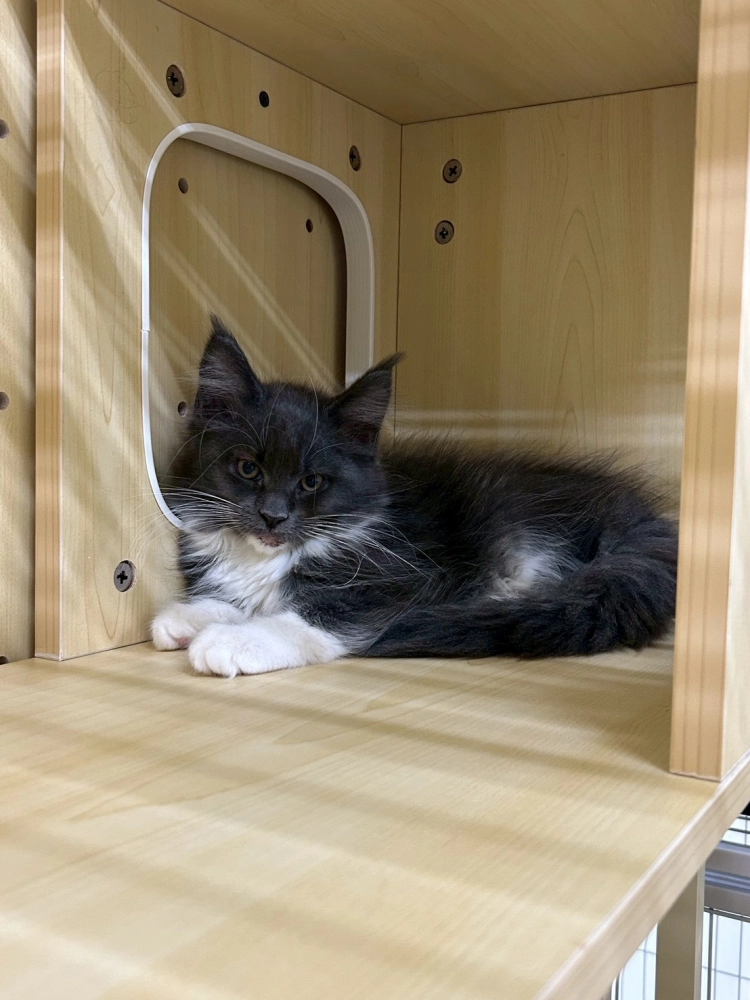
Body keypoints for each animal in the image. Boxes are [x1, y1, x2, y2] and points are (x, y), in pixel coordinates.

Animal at [151, 316, 678, 678]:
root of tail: (642, 518)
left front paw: (232, 641)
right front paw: (190, 615)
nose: (272, 517)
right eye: (248, 468)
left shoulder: (401, 577)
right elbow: (243, 596)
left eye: (311, 482)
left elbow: (316, 614)